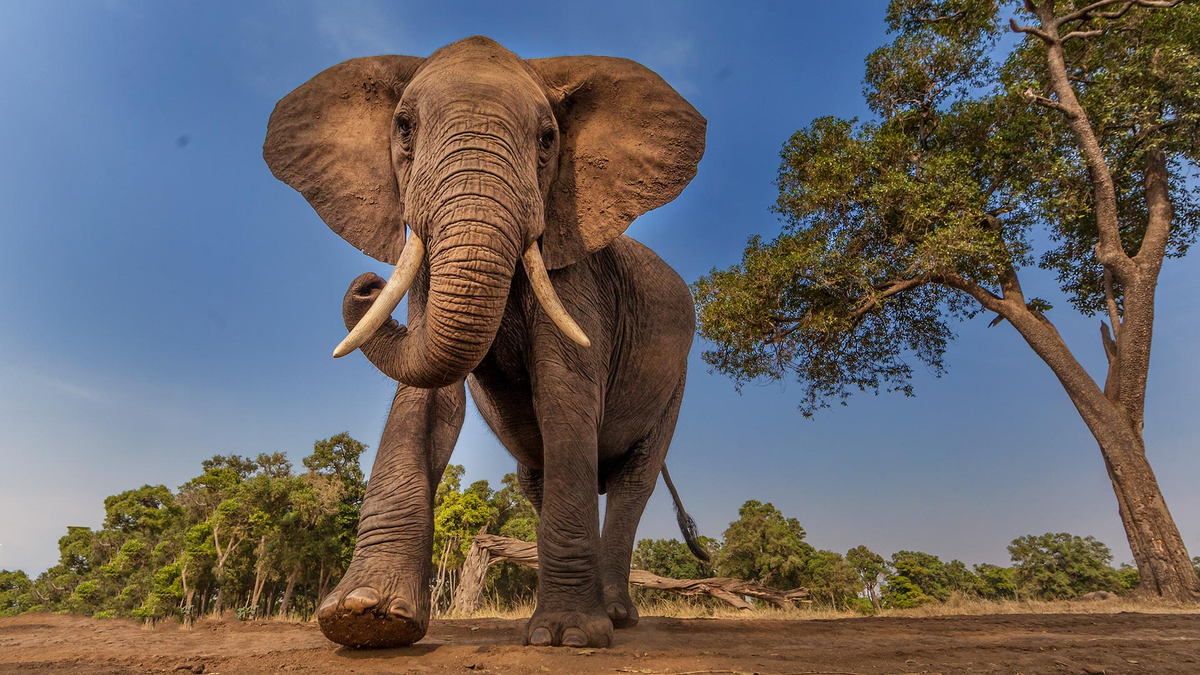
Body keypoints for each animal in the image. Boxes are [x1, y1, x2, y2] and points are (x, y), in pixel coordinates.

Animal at [263, 36, 707, 649]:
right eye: (404, 128)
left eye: (547, 140)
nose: (366, 283)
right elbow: (426, 398)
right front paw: (363, 618)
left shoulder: (577, 275)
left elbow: (565, 396)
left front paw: (568, 637)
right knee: (538, 478)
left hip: (678, 380)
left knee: (633, 481)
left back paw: (614, 617)